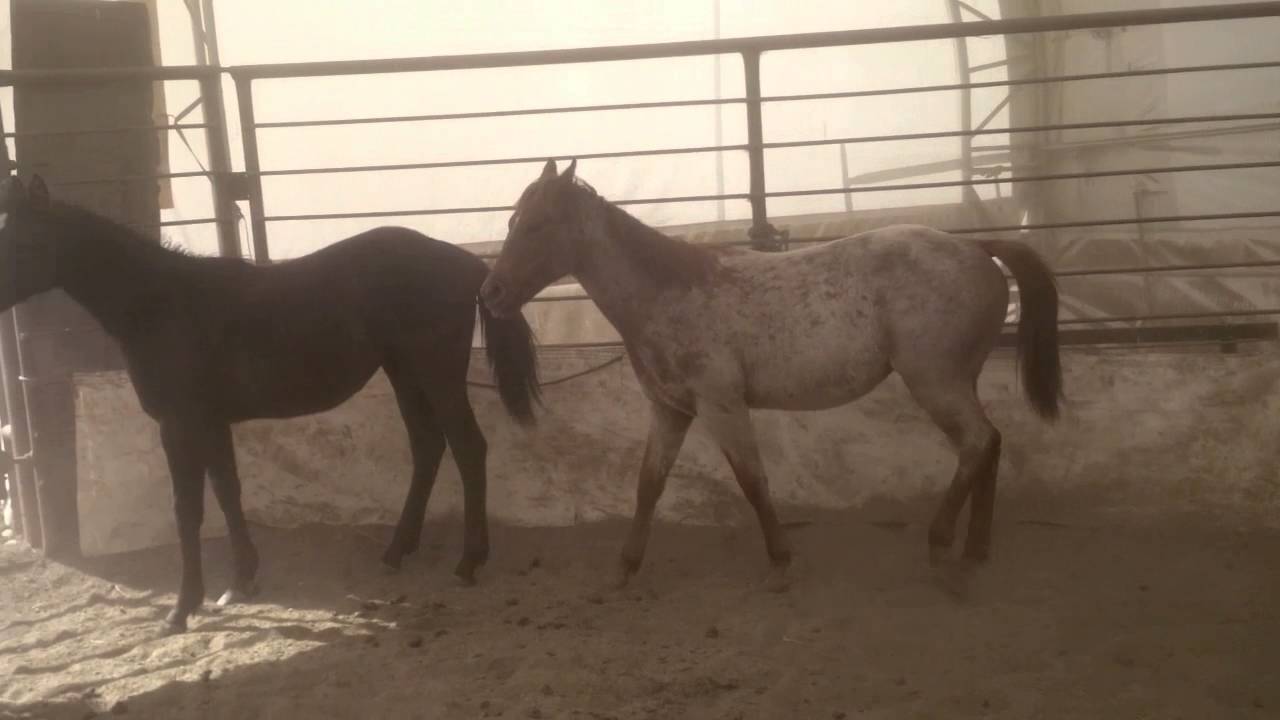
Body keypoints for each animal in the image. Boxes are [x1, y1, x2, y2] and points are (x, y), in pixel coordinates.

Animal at [0, 175, 541, 633]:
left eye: (20, 240)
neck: (163, 304)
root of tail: (468, 265)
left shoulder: (179, 426)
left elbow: (188, 509)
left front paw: (182, 607)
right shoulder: (211, 423)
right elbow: (228, 492)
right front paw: (240, 581)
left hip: (436, 375)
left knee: (468, 448)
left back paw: (468, 561)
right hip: (405, 374)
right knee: (428, 447)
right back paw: (396, 551)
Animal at [480, 159, 1061, 591]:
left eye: (536, 225)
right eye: (511, 222)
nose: (492, 293)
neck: (668, 292)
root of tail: (977, 247)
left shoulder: (722, 406)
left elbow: (752, 481)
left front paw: (781, 560)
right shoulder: (670, 411)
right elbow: (648, 486)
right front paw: (625, 566)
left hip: (935, 381)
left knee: (977, 443)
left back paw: (940, 544)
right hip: (960, 380)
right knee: (991, 444)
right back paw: (975, 548)